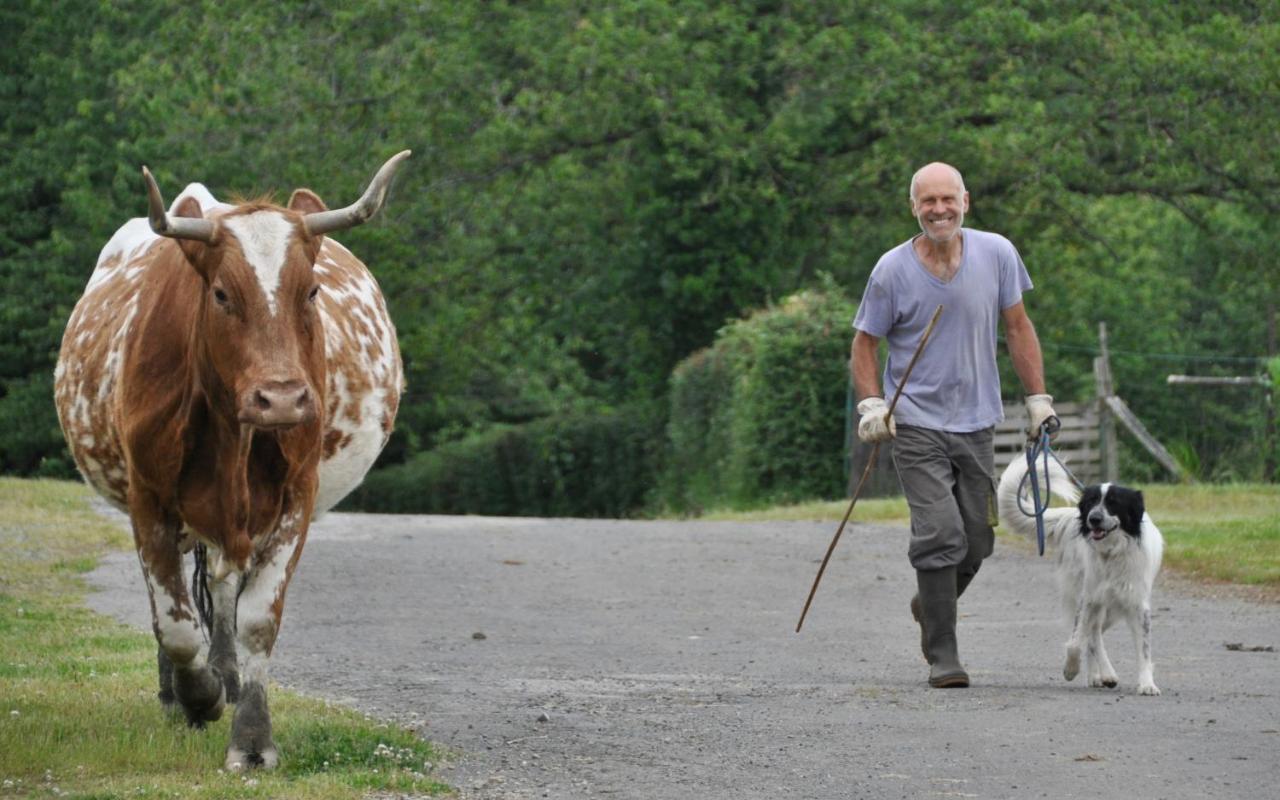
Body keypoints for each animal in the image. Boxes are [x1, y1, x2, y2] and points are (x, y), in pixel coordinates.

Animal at [53, 149, 409, 768]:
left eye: (311, 292)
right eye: (221, 294)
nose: (282, 399)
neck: (232, 436)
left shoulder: (296, 497)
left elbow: (257, 619)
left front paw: (252, 738)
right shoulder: (149, 499)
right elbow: (174, 624)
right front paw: (198, 697)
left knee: (222, 590)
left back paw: (226, 674)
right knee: (177, 604)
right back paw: (182, 691)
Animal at [993, 455, 1167, 691]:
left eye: (1113, 502)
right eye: (1092, 502)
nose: (1093, 519)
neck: (1111, 553)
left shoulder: (1137, 603)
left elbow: (1144, 650)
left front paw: (1147, 684)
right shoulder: (1089, 598)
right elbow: (1076, 641)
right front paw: (1070, 669)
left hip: (1112, 610)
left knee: (1096, 633)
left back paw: (1100, 675)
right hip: (1088, 596)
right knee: (1092, 635)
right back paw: (1101, 674)